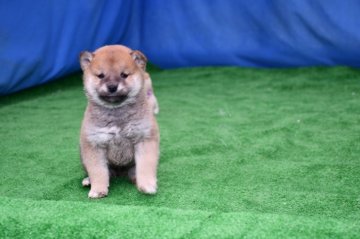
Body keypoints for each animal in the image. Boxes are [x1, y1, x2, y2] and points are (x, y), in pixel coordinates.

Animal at [79, 44, 160, 198]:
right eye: (101, 75)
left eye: (124, 75)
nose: (112, 86)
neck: (116, 112)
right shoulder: (95, 144)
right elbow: (98, 171)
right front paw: (98, 189)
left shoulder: (144, 139)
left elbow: (145, 167)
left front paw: (147, 185)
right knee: (104, 173)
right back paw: (88, 181)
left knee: (133, 172)